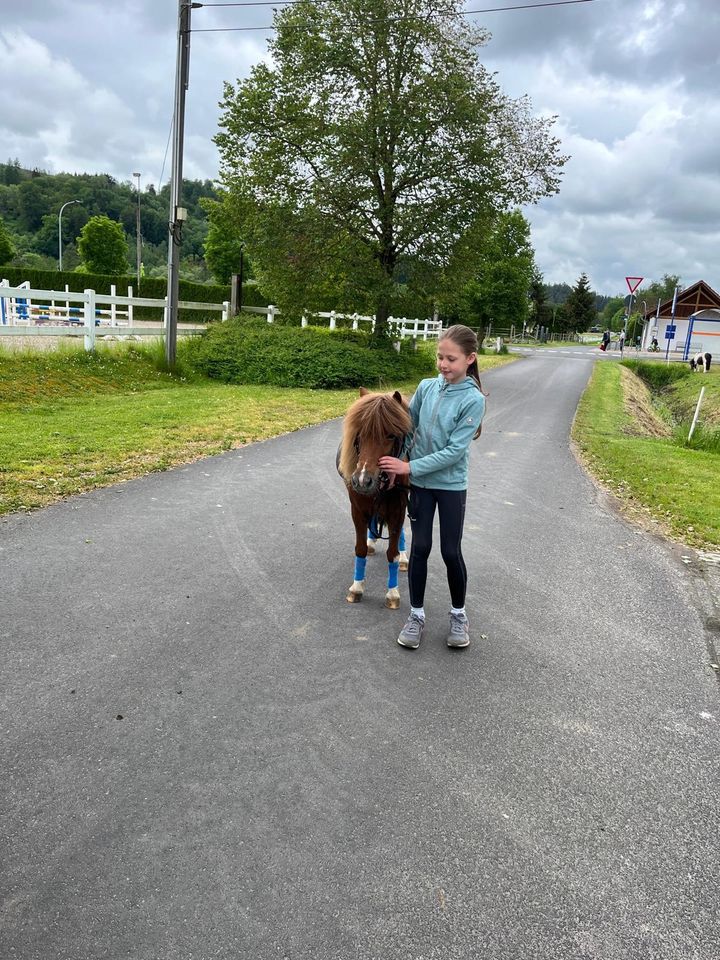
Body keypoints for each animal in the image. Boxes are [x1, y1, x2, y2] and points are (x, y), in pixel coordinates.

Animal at [340, 388, 414, 608]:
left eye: (390, 435)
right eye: (359, 433)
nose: (362, 480)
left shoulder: (398, 510)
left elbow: (392, 553)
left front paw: (392, 593)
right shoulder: (357, 510)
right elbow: (360, 549)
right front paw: (357, 588)